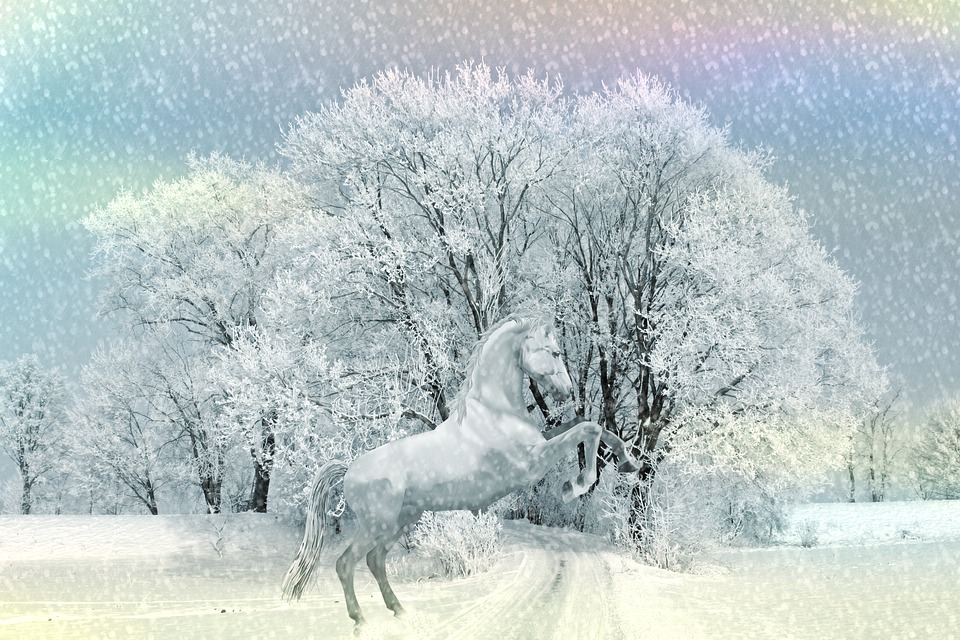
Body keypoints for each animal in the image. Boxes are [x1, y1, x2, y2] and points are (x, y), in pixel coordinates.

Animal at [281, 316, 639, 627]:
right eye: (554, 352)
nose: (566, 391)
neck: (494, 411)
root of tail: (349, 471)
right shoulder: (532, 464)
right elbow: (588, 429)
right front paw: (574, 485)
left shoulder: (542, 443)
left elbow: (585, 424)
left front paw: (628, 461)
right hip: (376, 525)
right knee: (346, 564)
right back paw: (361, 620)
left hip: (400, 522)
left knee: (375, 561)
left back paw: (400, 611)